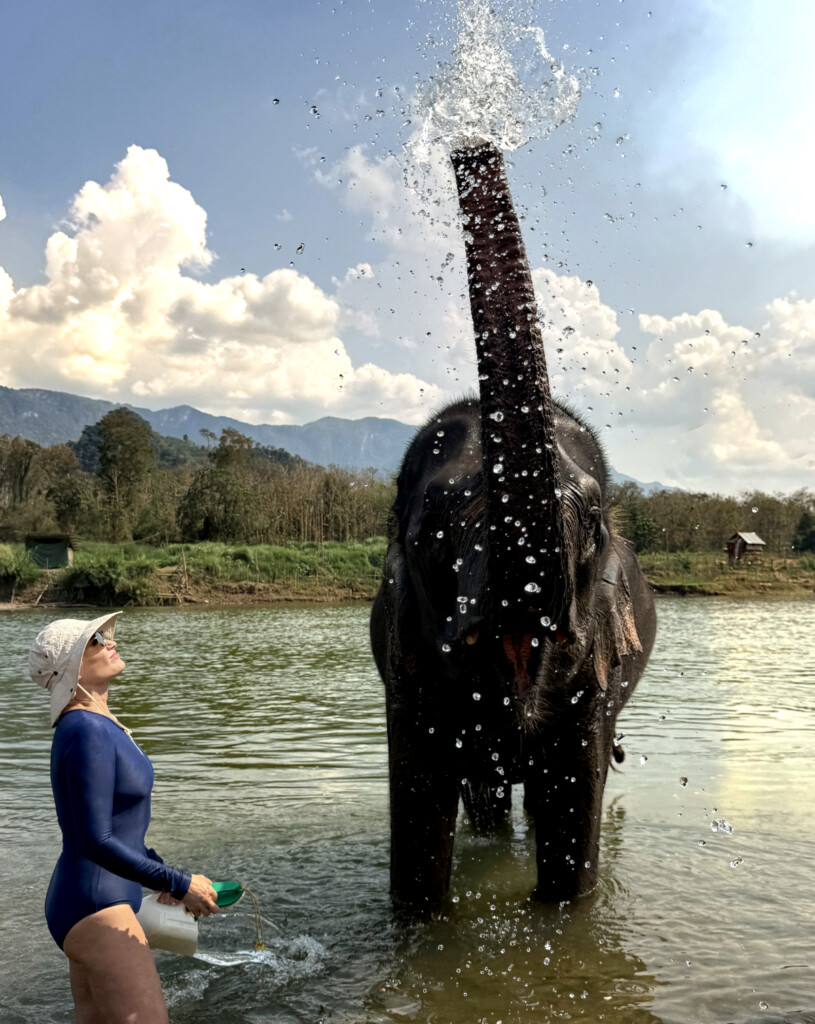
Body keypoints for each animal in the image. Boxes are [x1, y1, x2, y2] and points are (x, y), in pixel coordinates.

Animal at [370, 141, 657, 911]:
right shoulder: (406, 674)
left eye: (591, 523)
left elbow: (572, 820)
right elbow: (419, 824)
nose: (472, 148)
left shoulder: (593, 680)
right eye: (429, 532)